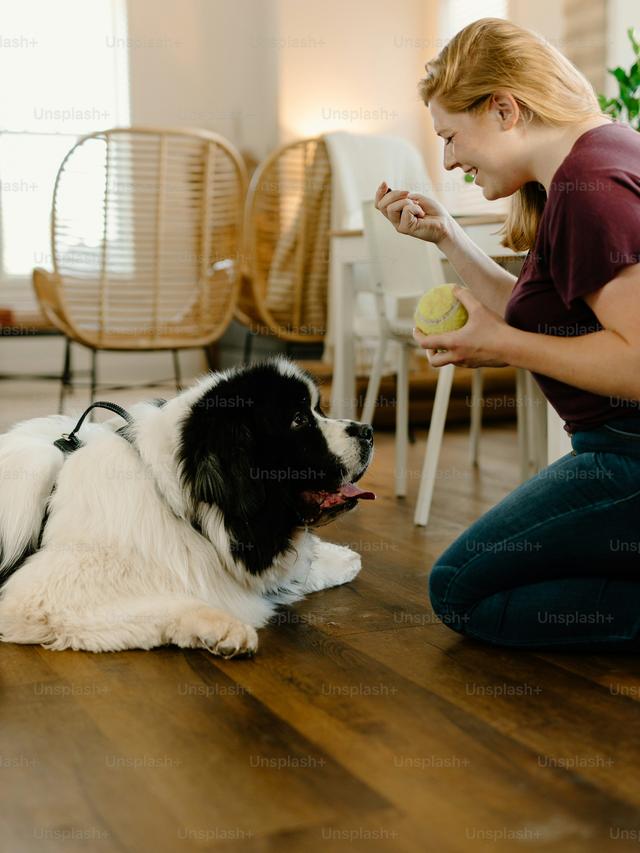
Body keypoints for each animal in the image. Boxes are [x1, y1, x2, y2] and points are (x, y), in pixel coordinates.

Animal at [0, 356, 376, 656]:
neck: (173, 499)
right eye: (299, 419)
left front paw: (342, 558)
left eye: (318, 411)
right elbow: (170, 601)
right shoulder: (42, 596)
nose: (368, 430)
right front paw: (223, 628)